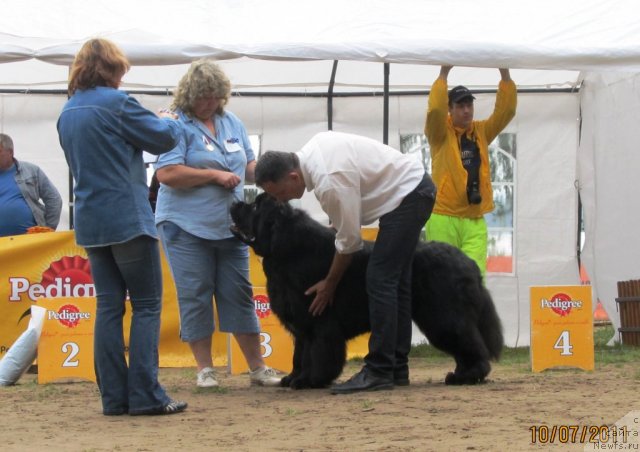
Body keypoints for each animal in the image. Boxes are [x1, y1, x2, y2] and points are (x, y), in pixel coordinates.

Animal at [231, 193, 504, 388]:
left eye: (255, 208)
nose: (234, 203)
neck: (287, 250)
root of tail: (468, 262)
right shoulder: (301, 325)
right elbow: (299, 355)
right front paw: (293, 378)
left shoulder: (319, 322)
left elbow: (316, 354)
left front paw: (310, 380)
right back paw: (459, 374)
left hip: (442, 317)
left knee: (469, 343)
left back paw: (467, 376)